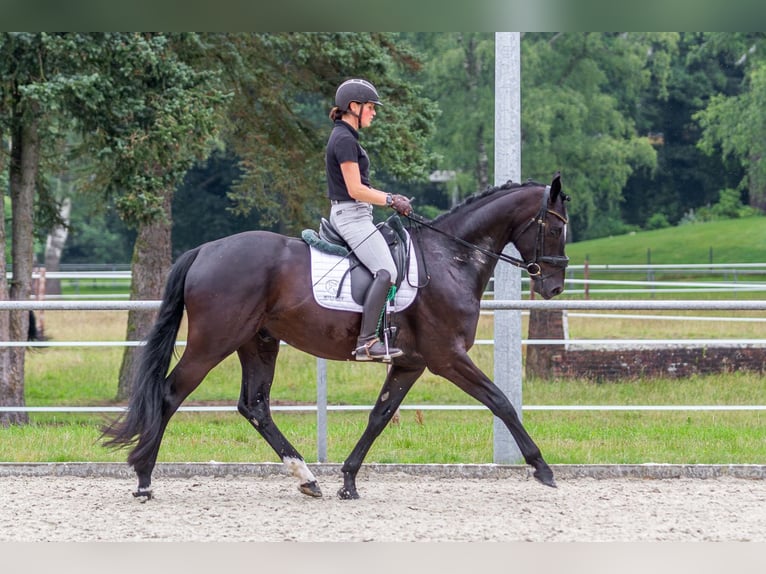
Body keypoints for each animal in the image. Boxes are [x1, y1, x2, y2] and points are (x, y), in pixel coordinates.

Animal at [103, 173, 568, 502]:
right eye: (555, 227)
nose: (554, 286)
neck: (449, 258)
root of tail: (204, 250)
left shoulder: (410, 362)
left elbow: (380, 416)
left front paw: (348, 480)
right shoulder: (447, 357)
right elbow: (500, 401)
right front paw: (542, 468)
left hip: (258, 342)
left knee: (255, 406)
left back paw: (308, 478)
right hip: (213, 342)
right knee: (169, 395)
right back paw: (144, 480)